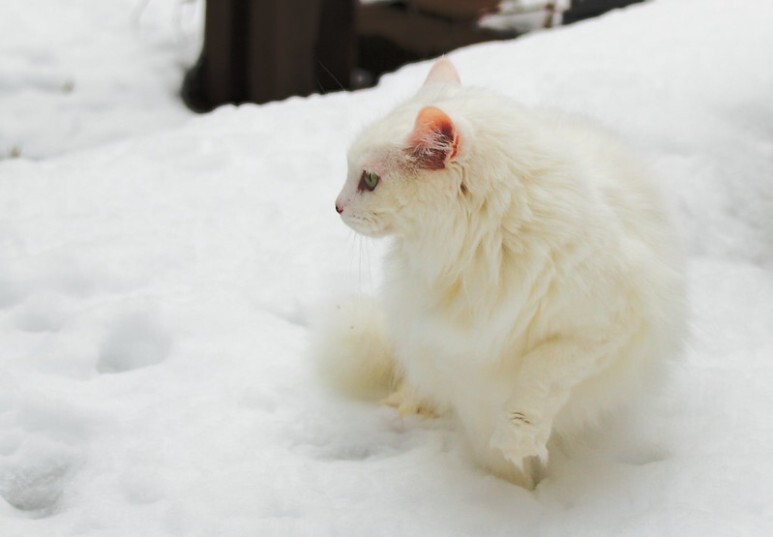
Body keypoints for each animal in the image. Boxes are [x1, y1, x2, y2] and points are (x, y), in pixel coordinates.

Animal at [314, 58, 680, 486]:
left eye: (370, 180)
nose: (336, 206)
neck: (486, 247)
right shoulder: (463, 369)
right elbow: (496, 448)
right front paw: (517, 489)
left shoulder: (605, 326)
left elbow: (540, 377)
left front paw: (522, 447)